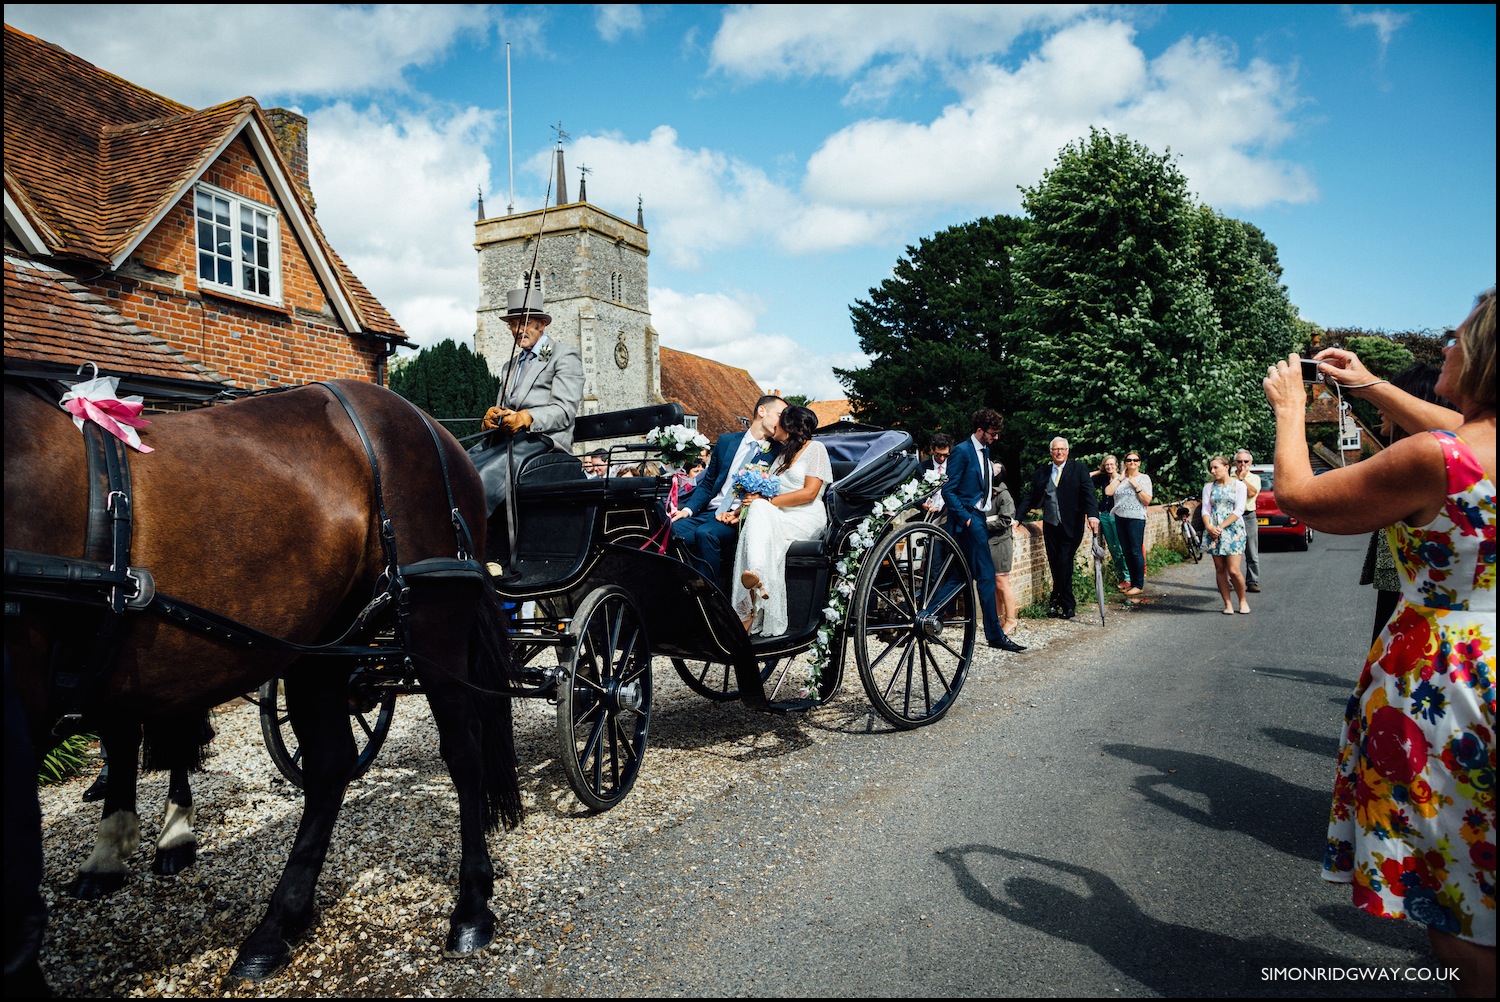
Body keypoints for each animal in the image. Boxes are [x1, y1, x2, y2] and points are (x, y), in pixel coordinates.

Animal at [4, 379, 522, 984]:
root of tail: (429, 425)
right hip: (321, 644)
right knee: (331, 765)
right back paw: (279, 923)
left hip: (433, 625)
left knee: (464, 752)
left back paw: (471, 908)